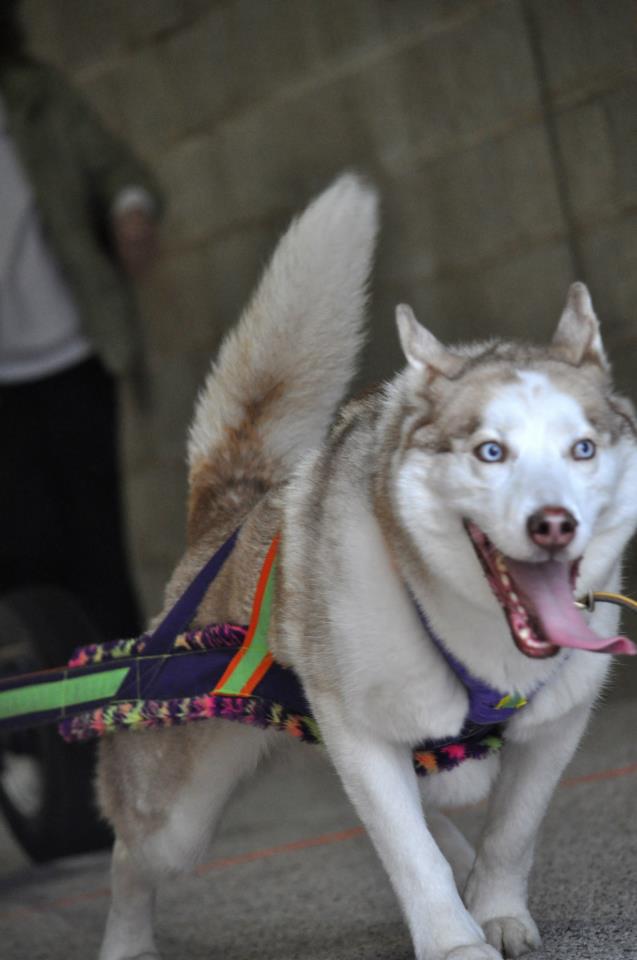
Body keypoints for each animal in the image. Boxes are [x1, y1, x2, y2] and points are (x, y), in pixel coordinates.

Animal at [97, 178, 636, 960]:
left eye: (583, 449)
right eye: (490, 451)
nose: (553, 523)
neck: (475, 634)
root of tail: (235, 508)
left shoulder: (553, 729)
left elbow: (513, 829)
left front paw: (495, 907)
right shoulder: (360, 734)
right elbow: (409, 854)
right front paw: (453, 941)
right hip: (178, 810)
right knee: (133, 855)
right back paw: (127, 943)